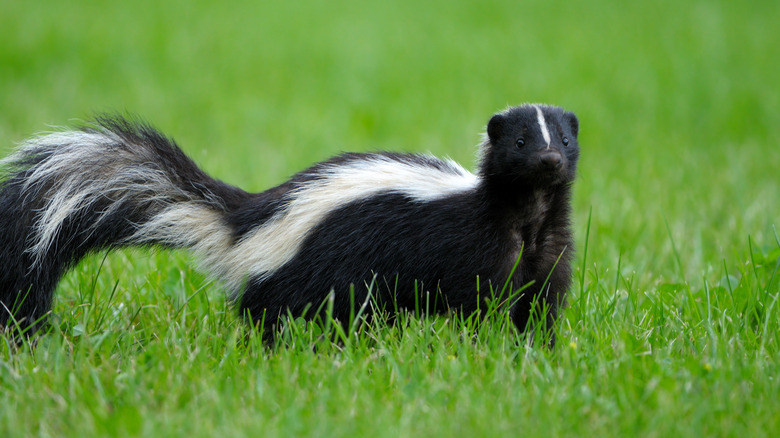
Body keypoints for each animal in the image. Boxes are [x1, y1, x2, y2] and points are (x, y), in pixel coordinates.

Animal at [0, 105, 580, 338]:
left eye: (565, 139)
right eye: (521, 142)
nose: (551, 159)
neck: (527, 214)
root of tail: (243, 221)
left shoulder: (549, 253)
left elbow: (540, 304)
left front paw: (535, 349)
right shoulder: (475, 248)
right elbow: (482, 300)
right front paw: (483, 345)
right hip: (314, 270)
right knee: (284, 314)